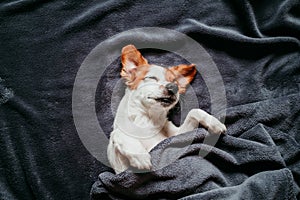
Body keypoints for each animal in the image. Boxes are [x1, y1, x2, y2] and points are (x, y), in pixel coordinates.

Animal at [106, 44, 226, 173]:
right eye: (152, 78)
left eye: (175, 82)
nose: (174, 87)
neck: (148, 119)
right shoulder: (121, 169)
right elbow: (117, 133)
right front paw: (140, 156)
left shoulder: (177, 135)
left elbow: (194, 111)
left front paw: (214, 122)